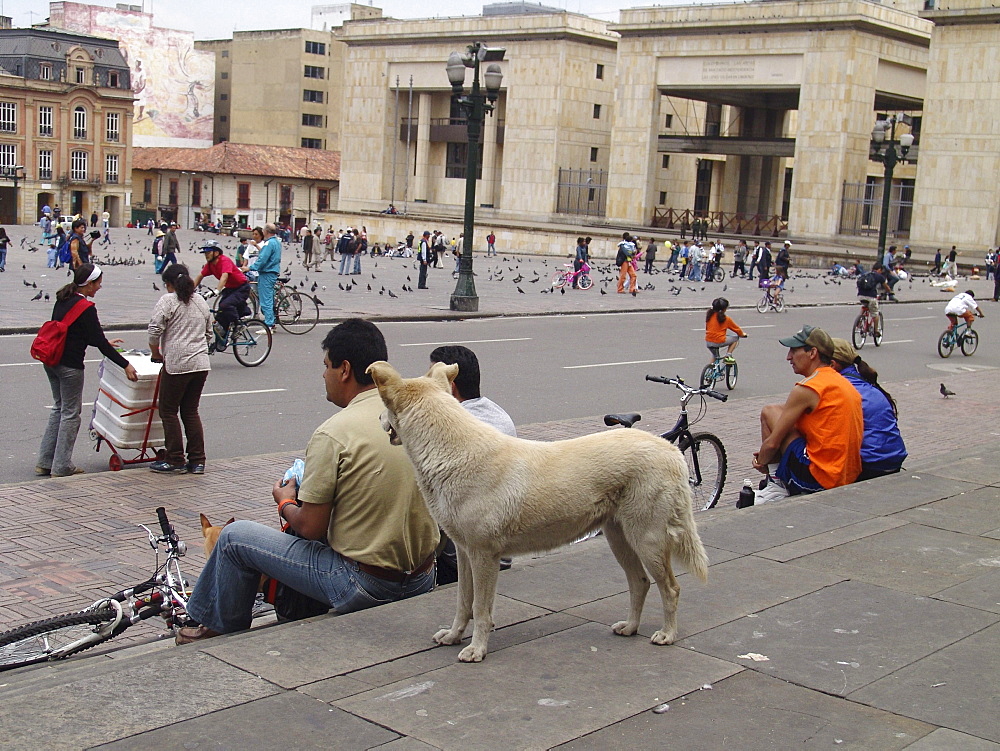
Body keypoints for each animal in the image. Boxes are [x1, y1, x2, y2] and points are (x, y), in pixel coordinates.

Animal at [370, 362, 712, 664]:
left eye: (384, 407)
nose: (377, 417)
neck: (448, 450)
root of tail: (670, 450)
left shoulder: (484, 555)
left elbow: (481, 609)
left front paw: (477, 650)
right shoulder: (465, 552)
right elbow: (462, 603)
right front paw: (454, 636)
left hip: (647, 539)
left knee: (671, 588)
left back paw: (667, 635)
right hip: (619, 537)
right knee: (640, 582)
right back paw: (629, 628)